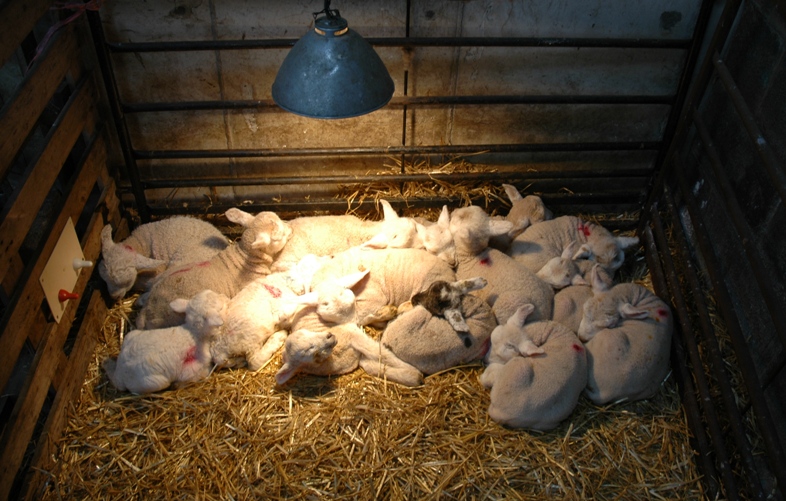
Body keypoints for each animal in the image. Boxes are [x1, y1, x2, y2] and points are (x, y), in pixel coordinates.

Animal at [274, 271, 423, 387]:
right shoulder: (356, 344)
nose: (329, 336)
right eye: (310, 351)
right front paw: (415, 375)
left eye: (307, 332)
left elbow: (381, 355)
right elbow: (379, 358)